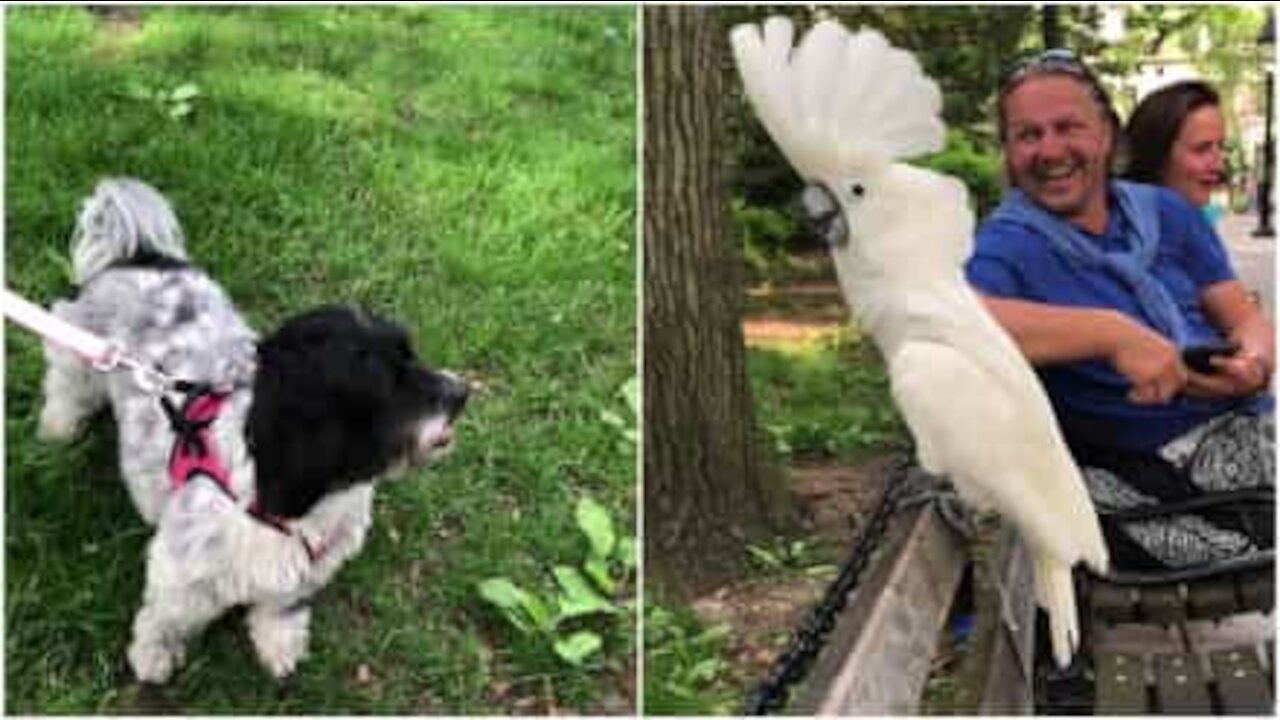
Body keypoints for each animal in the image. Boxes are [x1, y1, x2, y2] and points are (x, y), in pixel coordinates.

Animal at [35, 178, 471, 676]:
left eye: (411, 355)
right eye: (387, 381)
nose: (463, 393)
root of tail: (142, 254)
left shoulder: (302, 572)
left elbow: (281, 610)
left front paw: (279, 645)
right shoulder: (183, 572)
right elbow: (166, 619)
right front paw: (153, 656)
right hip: (80, 355)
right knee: (66, 386)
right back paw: (57, 429)